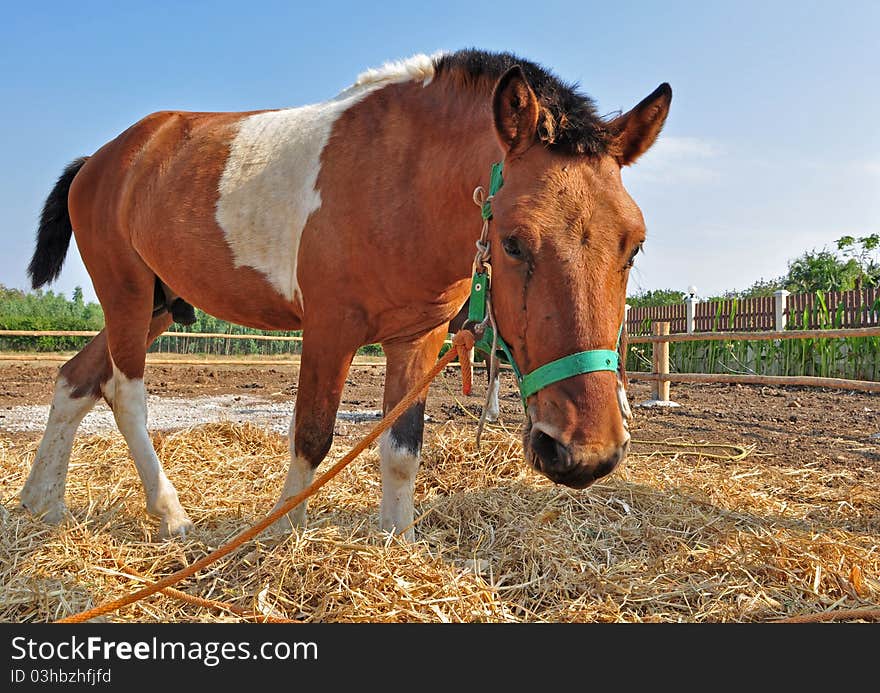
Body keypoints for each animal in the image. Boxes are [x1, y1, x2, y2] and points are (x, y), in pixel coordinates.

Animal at [20, 50, 672, 540]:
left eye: (635, 244)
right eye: (513, 242)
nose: (586, 453)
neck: (402, 178)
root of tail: (101, 160)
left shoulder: (417, 339)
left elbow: (403, 445)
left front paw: (398, 540)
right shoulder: (329, 331)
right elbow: (312, 435)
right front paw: (283, 538)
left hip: (158, 303)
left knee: (75, 380)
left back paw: (39, 502)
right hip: (126, 294)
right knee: (124, 393)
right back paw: (170, 513)